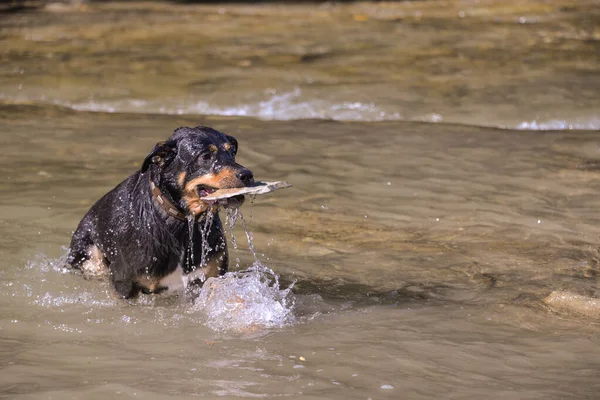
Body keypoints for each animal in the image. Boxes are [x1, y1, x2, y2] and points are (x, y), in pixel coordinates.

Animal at [65, 126, 253, 298]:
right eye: (206, 156)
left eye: (232, 152)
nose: (247, 174)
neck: (181, 223)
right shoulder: (125, 283)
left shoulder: (211, 275)